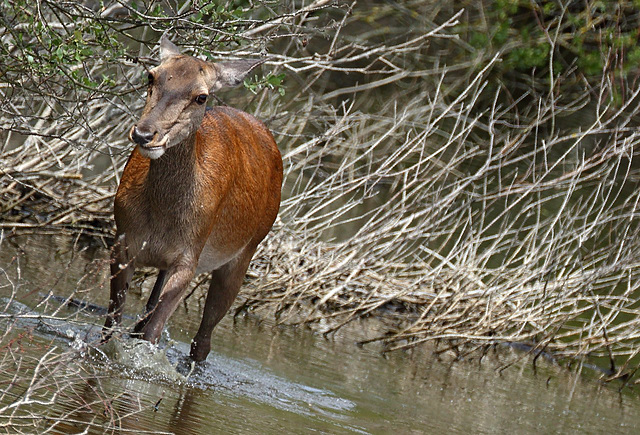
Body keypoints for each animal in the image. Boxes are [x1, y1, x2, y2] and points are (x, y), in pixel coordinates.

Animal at [102, 37, 282, 362]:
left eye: (201, 96)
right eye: (152, 76)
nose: (144, 134)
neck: (161, 217)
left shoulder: (190, 257)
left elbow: (152, 332)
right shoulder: (122, 240)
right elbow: (113, 322)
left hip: (245, 251)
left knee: (202, 341)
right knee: (145, 317)